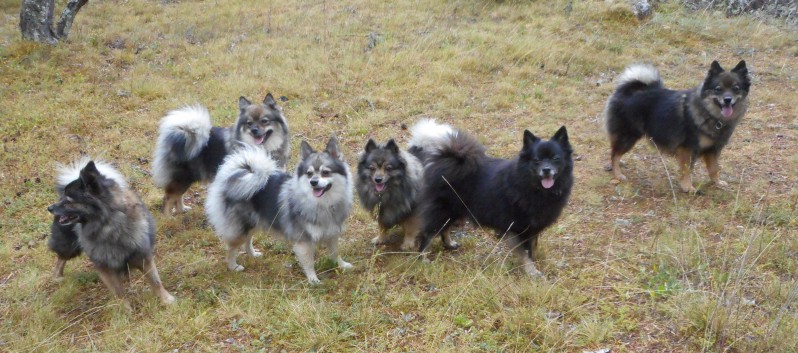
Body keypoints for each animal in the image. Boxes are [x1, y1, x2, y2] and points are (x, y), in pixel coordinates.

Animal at [47, 157, 175, 306]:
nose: (49, 208)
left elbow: (156, 281)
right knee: (61, 259)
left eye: (68, 200)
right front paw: (125, 308)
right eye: (63, 198)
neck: (108, 226)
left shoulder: (142, 255)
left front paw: (166, 299)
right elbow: (119, 292)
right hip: (69, 244)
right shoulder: (104, 266)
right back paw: (57, 277)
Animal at [153, 93, 290, 214]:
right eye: (249, 123)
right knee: (168, 198)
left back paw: (181, 209)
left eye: (264, 121)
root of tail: (179, 134)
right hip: (182, 178)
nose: (254, 130)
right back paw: (168, 219)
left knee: (177, 196)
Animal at [205, 138, 354, 284]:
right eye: (309, 173)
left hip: (253, 222)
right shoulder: (303, 240)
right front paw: (313, 279)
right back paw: (233, 266)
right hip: (241, 227)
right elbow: (309, 262)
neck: (322, 203)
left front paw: (341, 265)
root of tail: (233, 176)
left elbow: (335, 253)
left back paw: (252, 254)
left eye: (325, 172)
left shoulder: (332, 233)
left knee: (248, 240)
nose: (313, 182)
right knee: (231, 247)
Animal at [412, 119, 576, 276]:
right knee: (428, 234)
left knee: (444, 229)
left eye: (556, 158)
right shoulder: (520, 228)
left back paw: (450, 244)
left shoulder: (533, 228)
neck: (533, 187)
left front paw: (535, 262)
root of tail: (444, 160)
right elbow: (526, 253)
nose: (546, 169)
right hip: (444, 210)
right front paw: (532, 271)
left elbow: (533, 248)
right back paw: (423, 258)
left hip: (455, 210)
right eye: (537, 160)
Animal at [608, 61, 752, 192]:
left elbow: (714, 169)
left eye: (736, 88)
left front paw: (717, 182)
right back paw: (618, 174)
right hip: (628, 136)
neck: (710, 115)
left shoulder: (713, 149)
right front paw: (688, 187)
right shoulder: (688, 149)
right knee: (614, 154)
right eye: (718, 89)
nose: (727, 99)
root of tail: (627, 91)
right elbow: (687, 170)